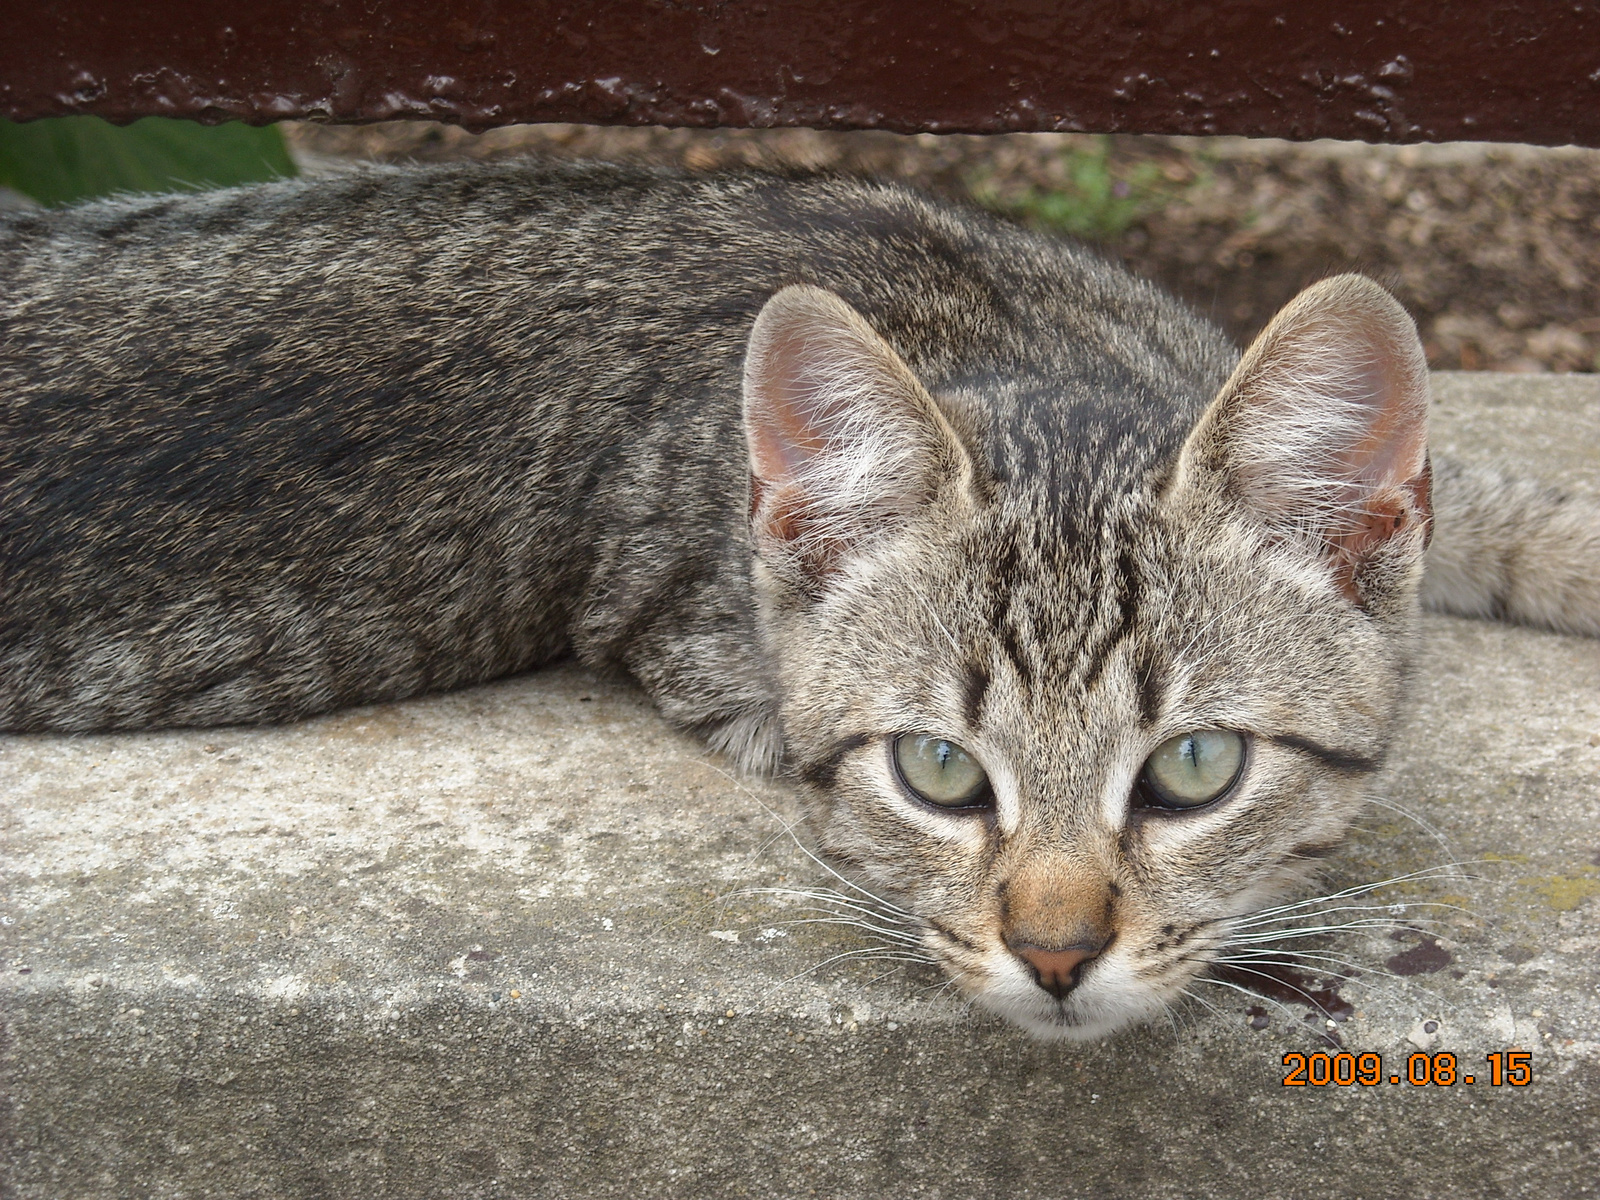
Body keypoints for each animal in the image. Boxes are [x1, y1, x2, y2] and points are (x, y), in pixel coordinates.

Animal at [6, 162, 1593, 1043]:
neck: (1027, 336)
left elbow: (1501, 507)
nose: (1056, 957)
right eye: (940, 770)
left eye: (1194, 767)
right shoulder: (697, 640)